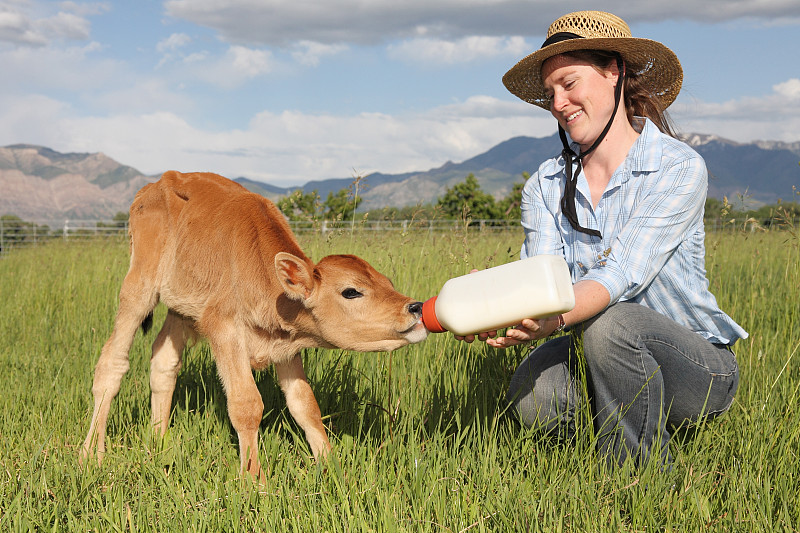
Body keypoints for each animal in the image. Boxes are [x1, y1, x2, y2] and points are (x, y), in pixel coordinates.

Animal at [81, 170, 428, 478]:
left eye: (388, 281)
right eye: (351, 291)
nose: (415, 307)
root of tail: (155, 184)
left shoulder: (286, 344)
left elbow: (305, 404)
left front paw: (332, 467)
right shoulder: (223, 329)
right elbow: (246, 405)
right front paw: (253, 480)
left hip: (182, 307)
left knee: (164, 360)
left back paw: (159, 442)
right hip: (139, 286)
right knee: (112, 362)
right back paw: (91, 453)